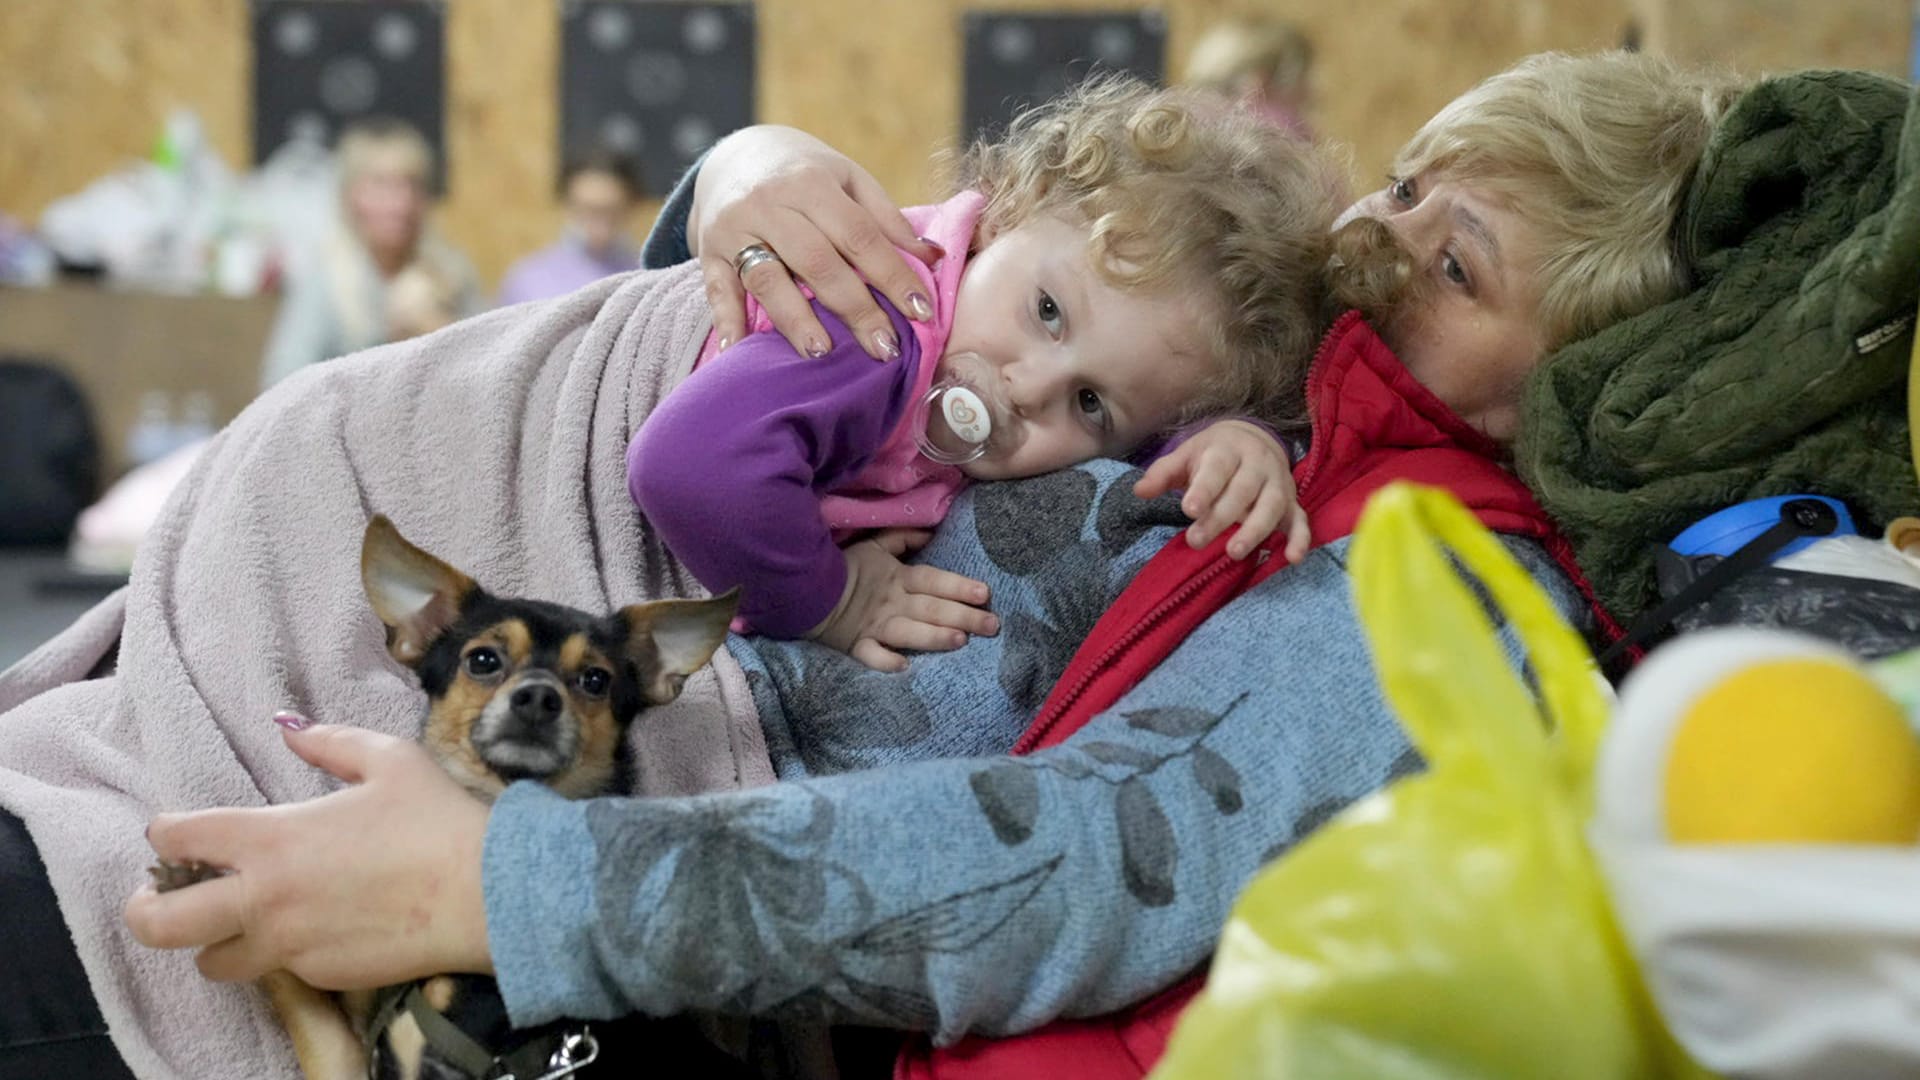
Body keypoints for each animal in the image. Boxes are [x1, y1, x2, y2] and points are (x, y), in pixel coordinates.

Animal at [157, 515, 737, 1076]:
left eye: (595, 680)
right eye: (482, 661)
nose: (538, 697)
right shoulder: (355, 1039)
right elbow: (302, 1000)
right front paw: (199, 879)